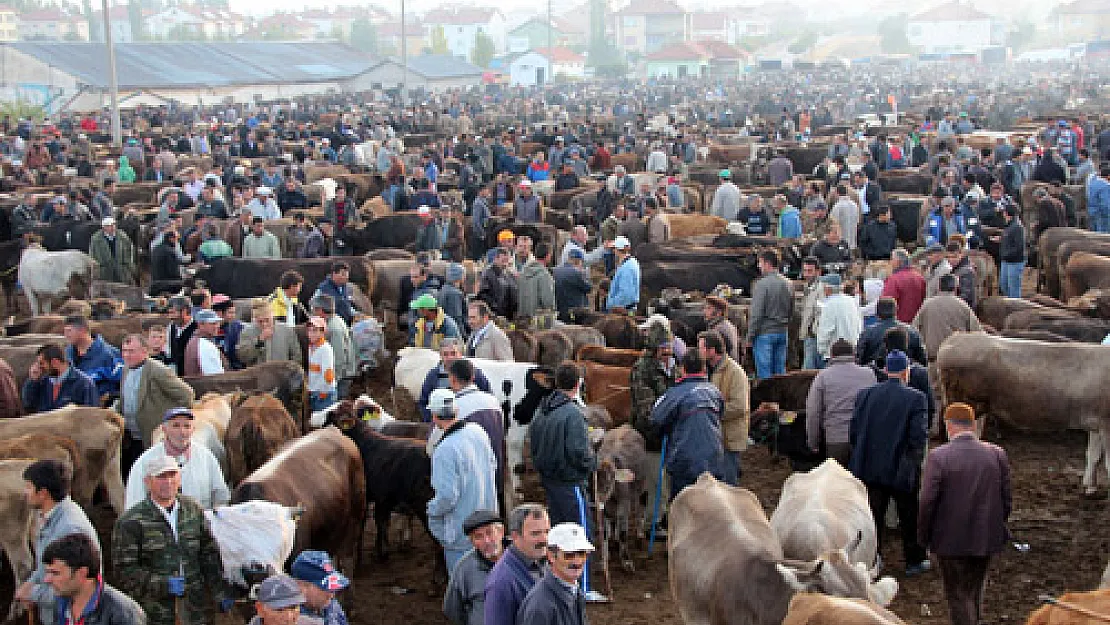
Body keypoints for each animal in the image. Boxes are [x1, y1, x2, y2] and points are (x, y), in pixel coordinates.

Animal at [599, 428, 648, 572]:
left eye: (610, 479)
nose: (599, 498)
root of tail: (625, 426)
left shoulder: (624, 503)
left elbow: (623, 533)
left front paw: (626, 561)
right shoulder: (604, 509)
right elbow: (604, 532)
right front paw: (604, 560)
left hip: (641, 488)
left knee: (641, 505)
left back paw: (639, 535)